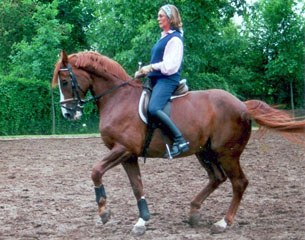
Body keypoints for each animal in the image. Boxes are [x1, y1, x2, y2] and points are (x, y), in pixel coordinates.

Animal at [52, 50, 304, 234]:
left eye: (64, 81)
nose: (67, 114)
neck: (117, 98)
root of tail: (242, 105)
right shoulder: (129, 155)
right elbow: (137, 186)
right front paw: (142, 221)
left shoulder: (122, 149)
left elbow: (96, 171)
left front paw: (104, 213)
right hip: (205, 152)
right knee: (217, 178)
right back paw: (193, 212)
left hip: (227, 153)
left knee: (239, 183)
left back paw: (223, 222)